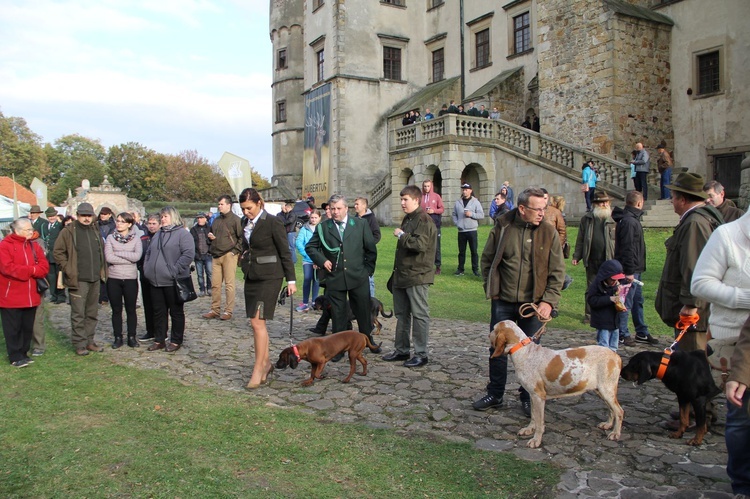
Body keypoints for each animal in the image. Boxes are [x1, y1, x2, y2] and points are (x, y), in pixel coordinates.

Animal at [490, 322, 624, 452]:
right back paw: (608, 424)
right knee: (611, 409)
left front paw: (536, 440)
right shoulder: (533, 395)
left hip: (606, 390)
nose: (488, 334)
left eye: (493, 329)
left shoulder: (539, 396)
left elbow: (539, 423)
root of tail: (615, 355)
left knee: (619, 411)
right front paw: (529, 429)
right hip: (601, 392)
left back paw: (615, 433)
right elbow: (533, 416)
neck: (523, 350)